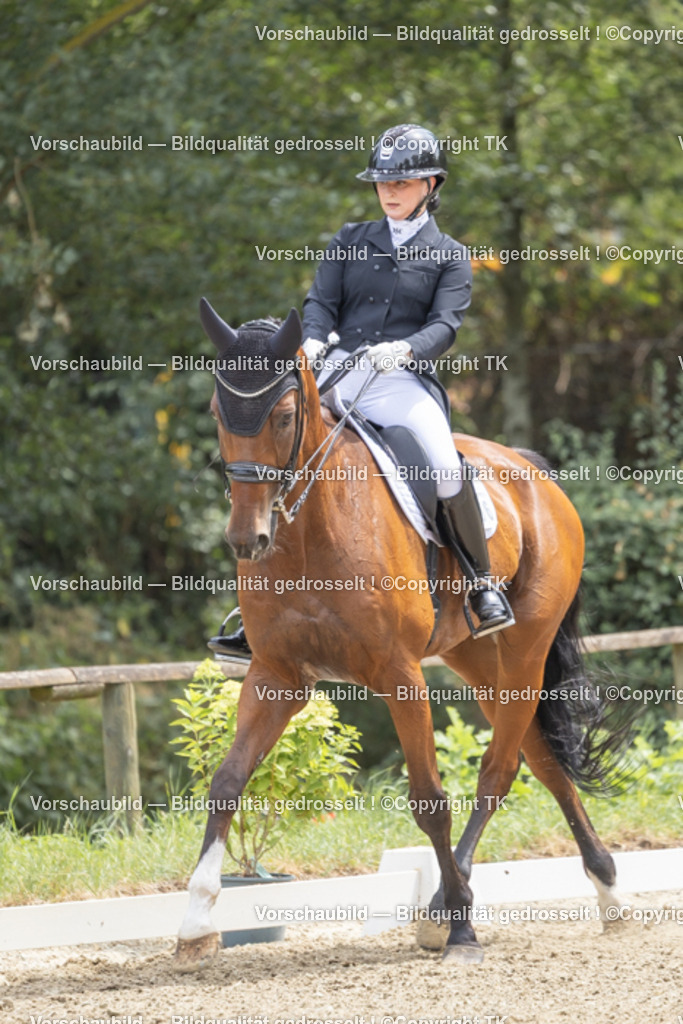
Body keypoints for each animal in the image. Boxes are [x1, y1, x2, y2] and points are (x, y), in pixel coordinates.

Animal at [174, 300, 631, 968]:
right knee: (541, 758)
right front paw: (196, 920)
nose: (245, 539)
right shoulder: (277, 674)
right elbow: (227, 782)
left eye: (283, 416)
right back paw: (606, 891)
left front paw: (463, 931)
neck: (311, 531)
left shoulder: (399, 674)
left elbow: (430, 801)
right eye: (216, 413)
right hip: (474, 658)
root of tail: (530, 468)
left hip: (526, 646)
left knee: (499, 770)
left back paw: (449, 908)